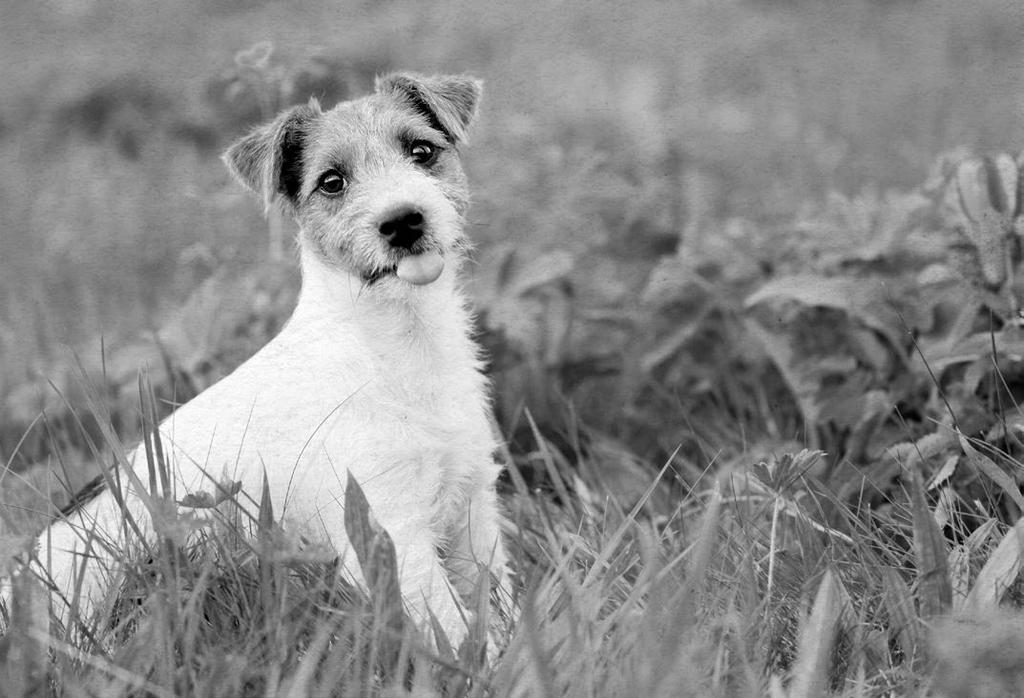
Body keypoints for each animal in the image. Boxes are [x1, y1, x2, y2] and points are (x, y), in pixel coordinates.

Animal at [4, 72, 507, 646]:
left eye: (421, 151)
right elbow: (454, 628)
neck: (397, 342)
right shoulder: (389, 526)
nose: (402, 221)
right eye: (331, 182)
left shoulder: (473, 504)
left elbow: (497, 603)